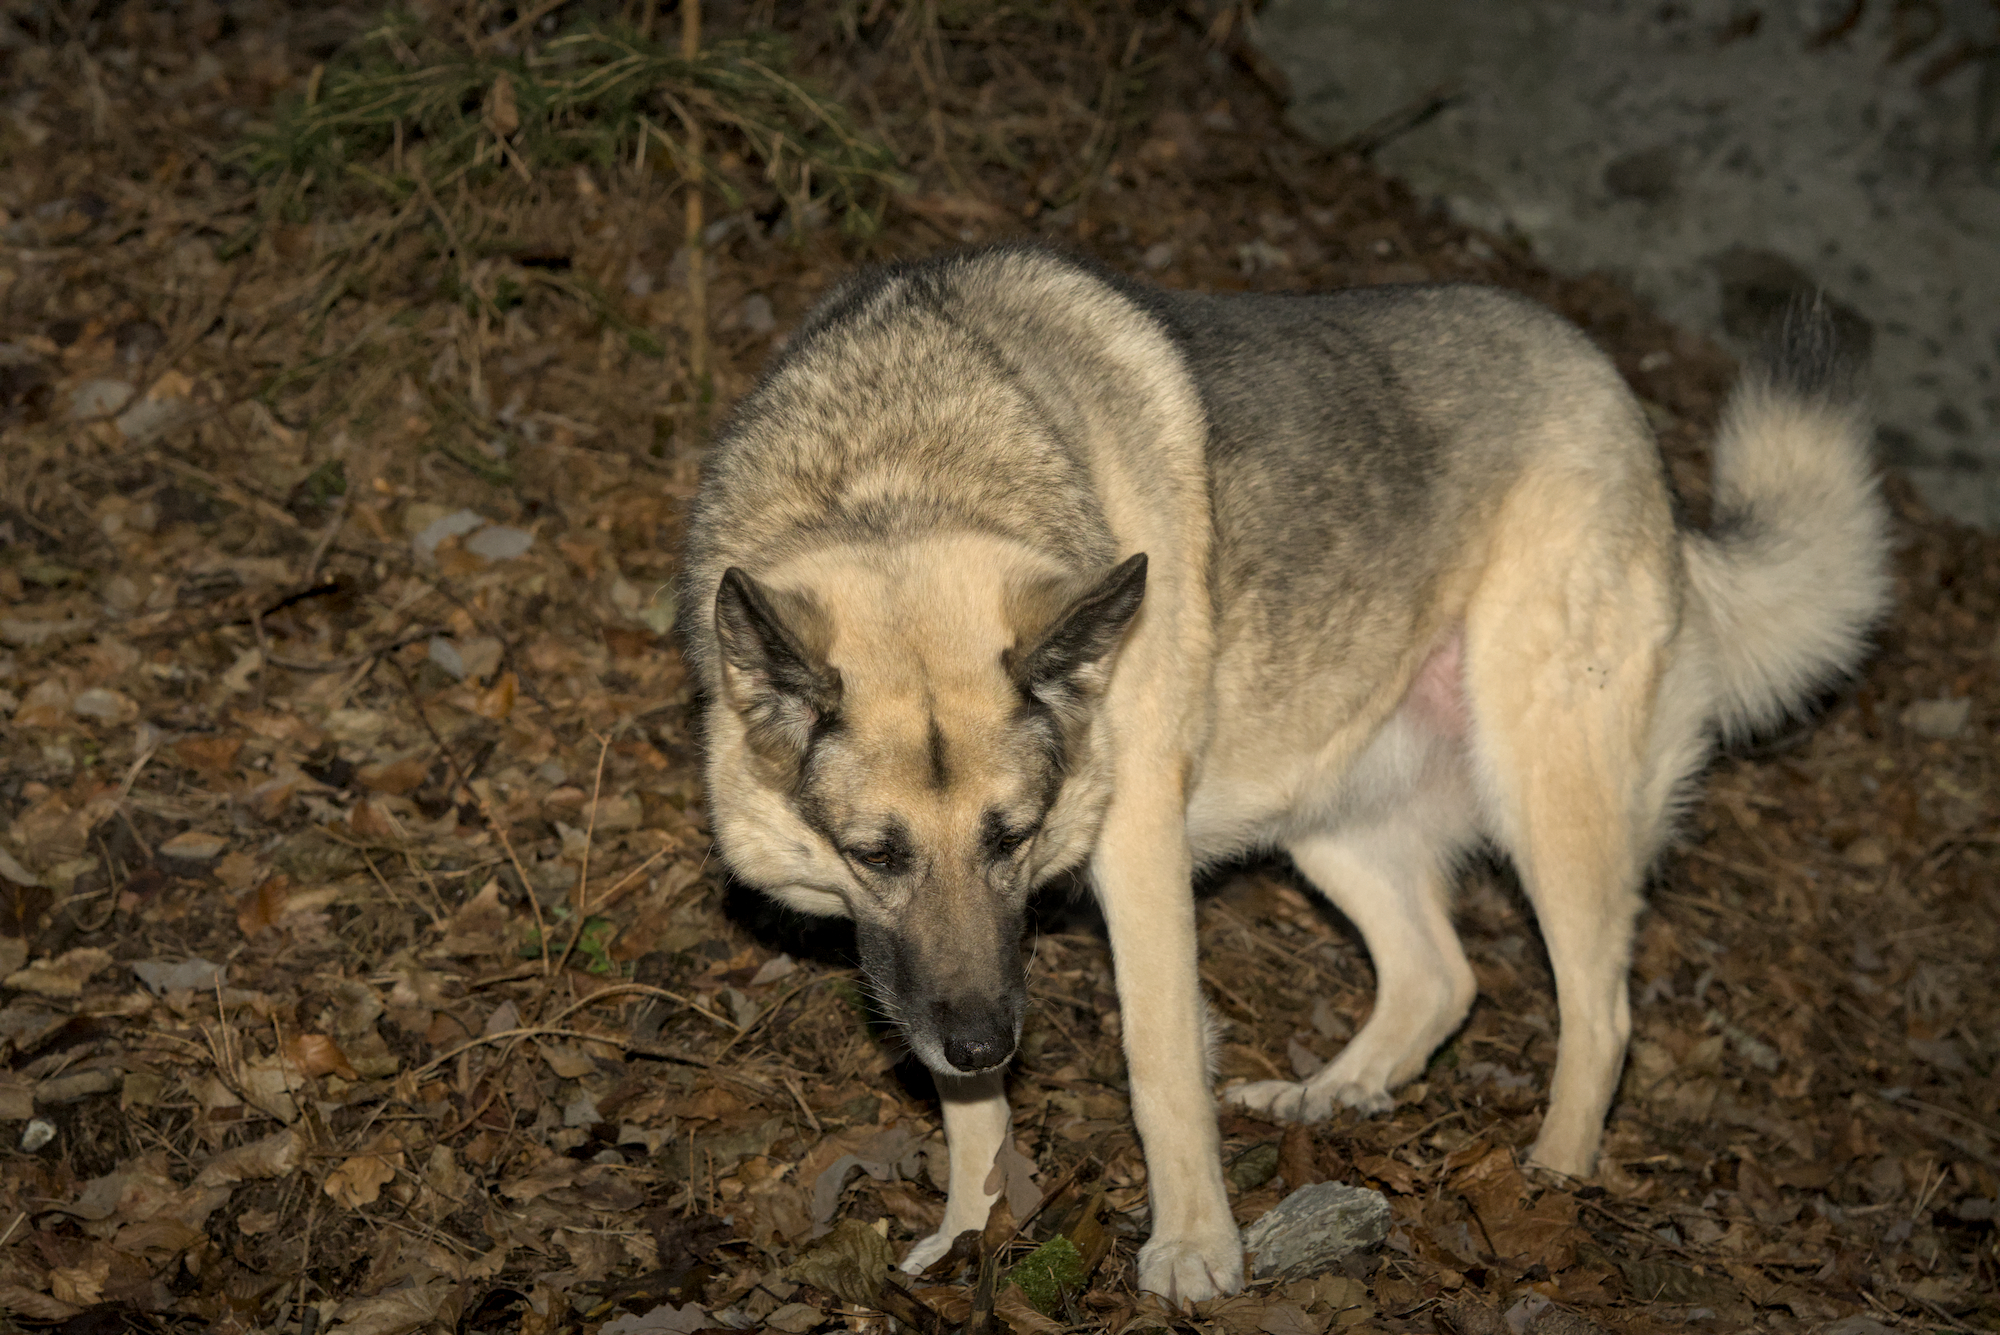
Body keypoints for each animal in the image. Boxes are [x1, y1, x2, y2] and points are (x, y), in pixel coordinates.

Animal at [676, 243, 1888, 1303]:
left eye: (1010, 836)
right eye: (873, 854)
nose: (984, 1039)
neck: (896, 477)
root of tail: (1624, 410)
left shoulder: (1133, 851)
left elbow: (1161, 1060)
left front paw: (1194, 1248)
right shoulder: (946, 966)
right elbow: (969, 1097)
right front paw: (974, 1229)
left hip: (1551, 795)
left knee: (1600, 1012)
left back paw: (1553, 1176)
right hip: (1328, 813)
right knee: (1440, 974)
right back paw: (1335, 1093)